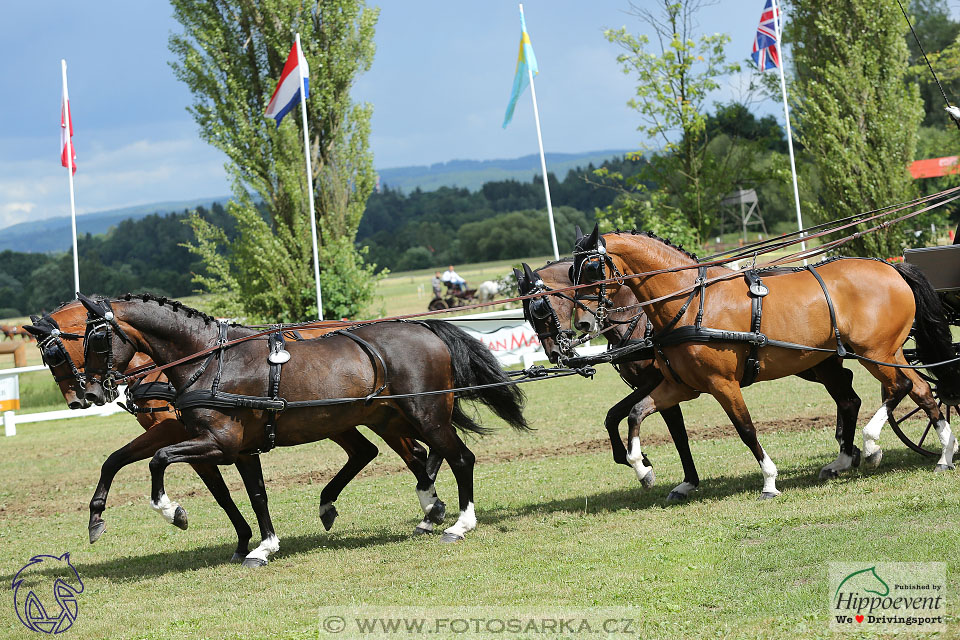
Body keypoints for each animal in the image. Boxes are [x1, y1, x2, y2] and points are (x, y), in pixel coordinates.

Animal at [80, 294, 532, 564]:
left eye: (96, 341)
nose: (89, 390)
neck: (210, 360)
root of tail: (423, 327)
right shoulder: (241, 450)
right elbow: (257, 496)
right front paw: (263, 546)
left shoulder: (218, 444)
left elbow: (158, 460)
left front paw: (172, 510)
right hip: (389, 417)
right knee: (417, 455)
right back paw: (425, 508)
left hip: (425, 414)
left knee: (459, 457)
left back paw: (459, 524)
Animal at [516, 258, 864, 498]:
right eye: (526, 315)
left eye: (540, 308)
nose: (555, 353)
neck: (641, 314)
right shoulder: (665, 383)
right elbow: (616, 415)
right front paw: (638, 461)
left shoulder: (659, 381)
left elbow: (673, 433)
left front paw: (658, 470)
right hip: (813, 363)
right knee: (846, 390)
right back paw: (848, 447)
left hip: (813, 363)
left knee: (847, 392)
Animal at [568, 226, 960, 500]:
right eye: (572, 273)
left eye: (592, 268)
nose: (582, 324)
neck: (691, 301)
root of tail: (892, 269)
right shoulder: (682, 385)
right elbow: (636, 413)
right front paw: (642, 468)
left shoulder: (722, 383)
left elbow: (746, 429)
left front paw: (770, 480)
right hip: (881, 354)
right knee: (921, 391)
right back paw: (943, 454)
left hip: (875, 352)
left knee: (899, 387)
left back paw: (873, 445)